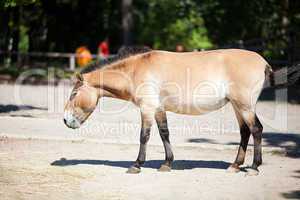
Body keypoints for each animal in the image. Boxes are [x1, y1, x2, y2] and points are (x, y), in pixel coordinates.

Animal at [63, 47, 274, 176]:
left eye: (74, 94)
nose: (65, 120)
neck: (135, 70)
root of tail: (262, 62)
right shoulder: (159, 109)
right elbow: (164, 133)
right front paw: (167, 163)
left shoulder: (147, 109)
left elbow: (144, 136)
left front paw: (137, 165)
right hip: (238, 107)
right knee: (245, 132)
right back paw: (235, 166)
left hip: (245, 106)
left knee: (256, 130)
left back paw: (254, 167)